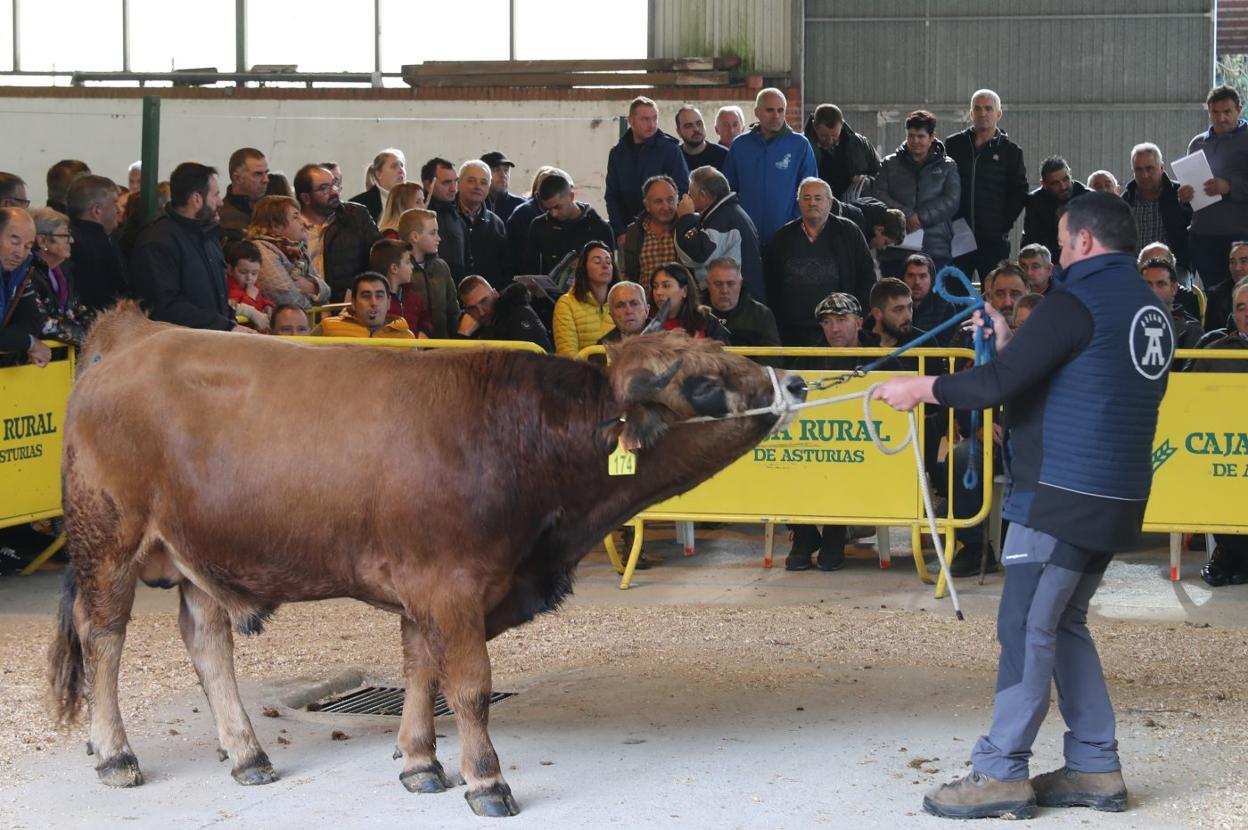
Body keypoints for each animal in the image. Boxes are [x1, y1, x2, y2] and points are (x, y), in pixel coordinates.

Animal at [48, 300, 803, 813]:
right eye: (702, 384)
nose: (795, 383)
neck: (514, 434)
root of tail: (136, 332)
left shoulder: (425, 585)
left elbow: (420, 668)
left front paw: (419, 763)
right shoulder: (450, 583)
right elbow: (467, 683)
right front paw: (486, 779)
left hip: (199, 553)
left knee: (207, 643)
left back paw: (246, 752)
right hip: (108, 543)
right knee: (103, 636)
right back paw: (115, 753)